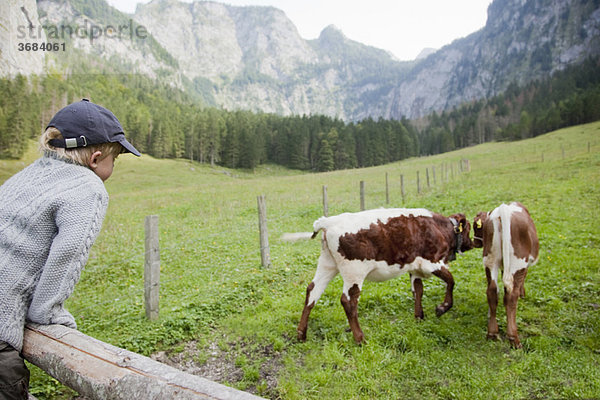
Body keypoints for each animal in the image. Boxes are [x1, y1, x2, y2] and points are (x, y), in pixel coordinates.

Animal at [296, 208, 474, 342]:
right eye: (469, 228)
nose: (471, 244)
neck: (439, 228)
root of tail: (329, 221)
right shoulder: (432, 263)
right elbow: (451, 281)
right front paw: (442, 308)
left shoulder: (414, 268)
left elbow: (418, 290)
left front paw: (419, 317)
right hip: (354, 271)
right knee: (348, 301)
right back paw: (360, 338)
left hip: (328, 265)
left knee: (312, 291)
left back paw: (301, 334)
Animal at [474, 202, 540, 348]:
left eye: (476, 227)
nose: (475, 243)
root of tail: (502, 209)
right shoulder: (522, 268)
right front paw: (522, 294)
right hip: (518, 263)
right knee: (511, 296)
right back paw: (513, 338)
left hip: (490, 260)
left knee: (492, 291)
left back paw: (492, 333)